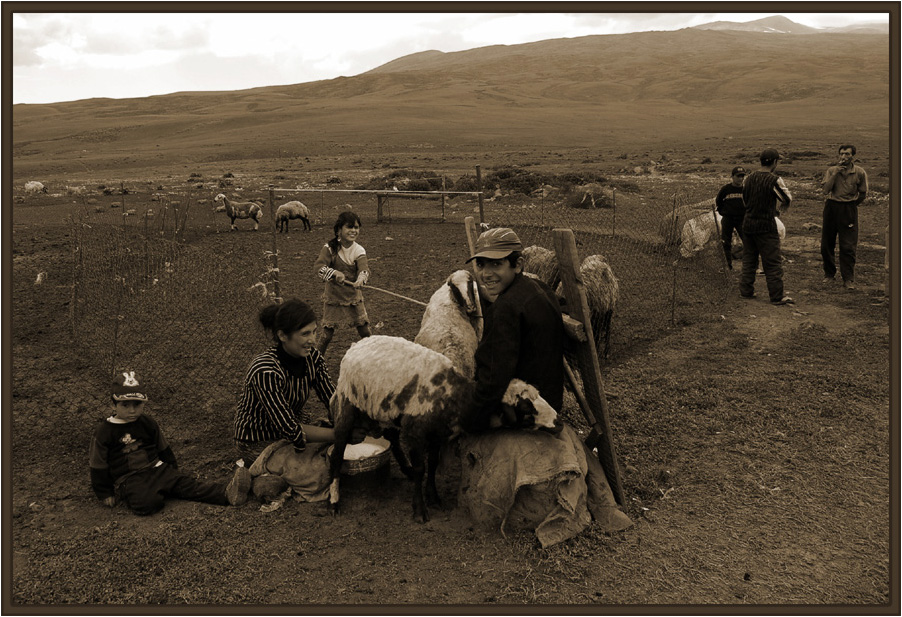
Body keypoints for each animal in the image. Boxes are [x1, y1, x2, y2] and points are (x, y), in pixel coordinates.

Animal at [328, 334, 560, 524]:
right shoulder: (416, 433)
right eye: (526, 409)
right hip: (347, 405)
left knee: (391, 436)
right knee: (338, 451)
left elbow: (433, 463)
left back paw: (406, 469)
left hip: (384, 410)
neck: (457, 399)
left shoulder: (437, 434)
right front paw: (420, 510)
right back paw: (334, 501)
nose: (558, 422)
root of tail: (357, 344)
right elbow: (421, 468)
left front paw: (433, 497)